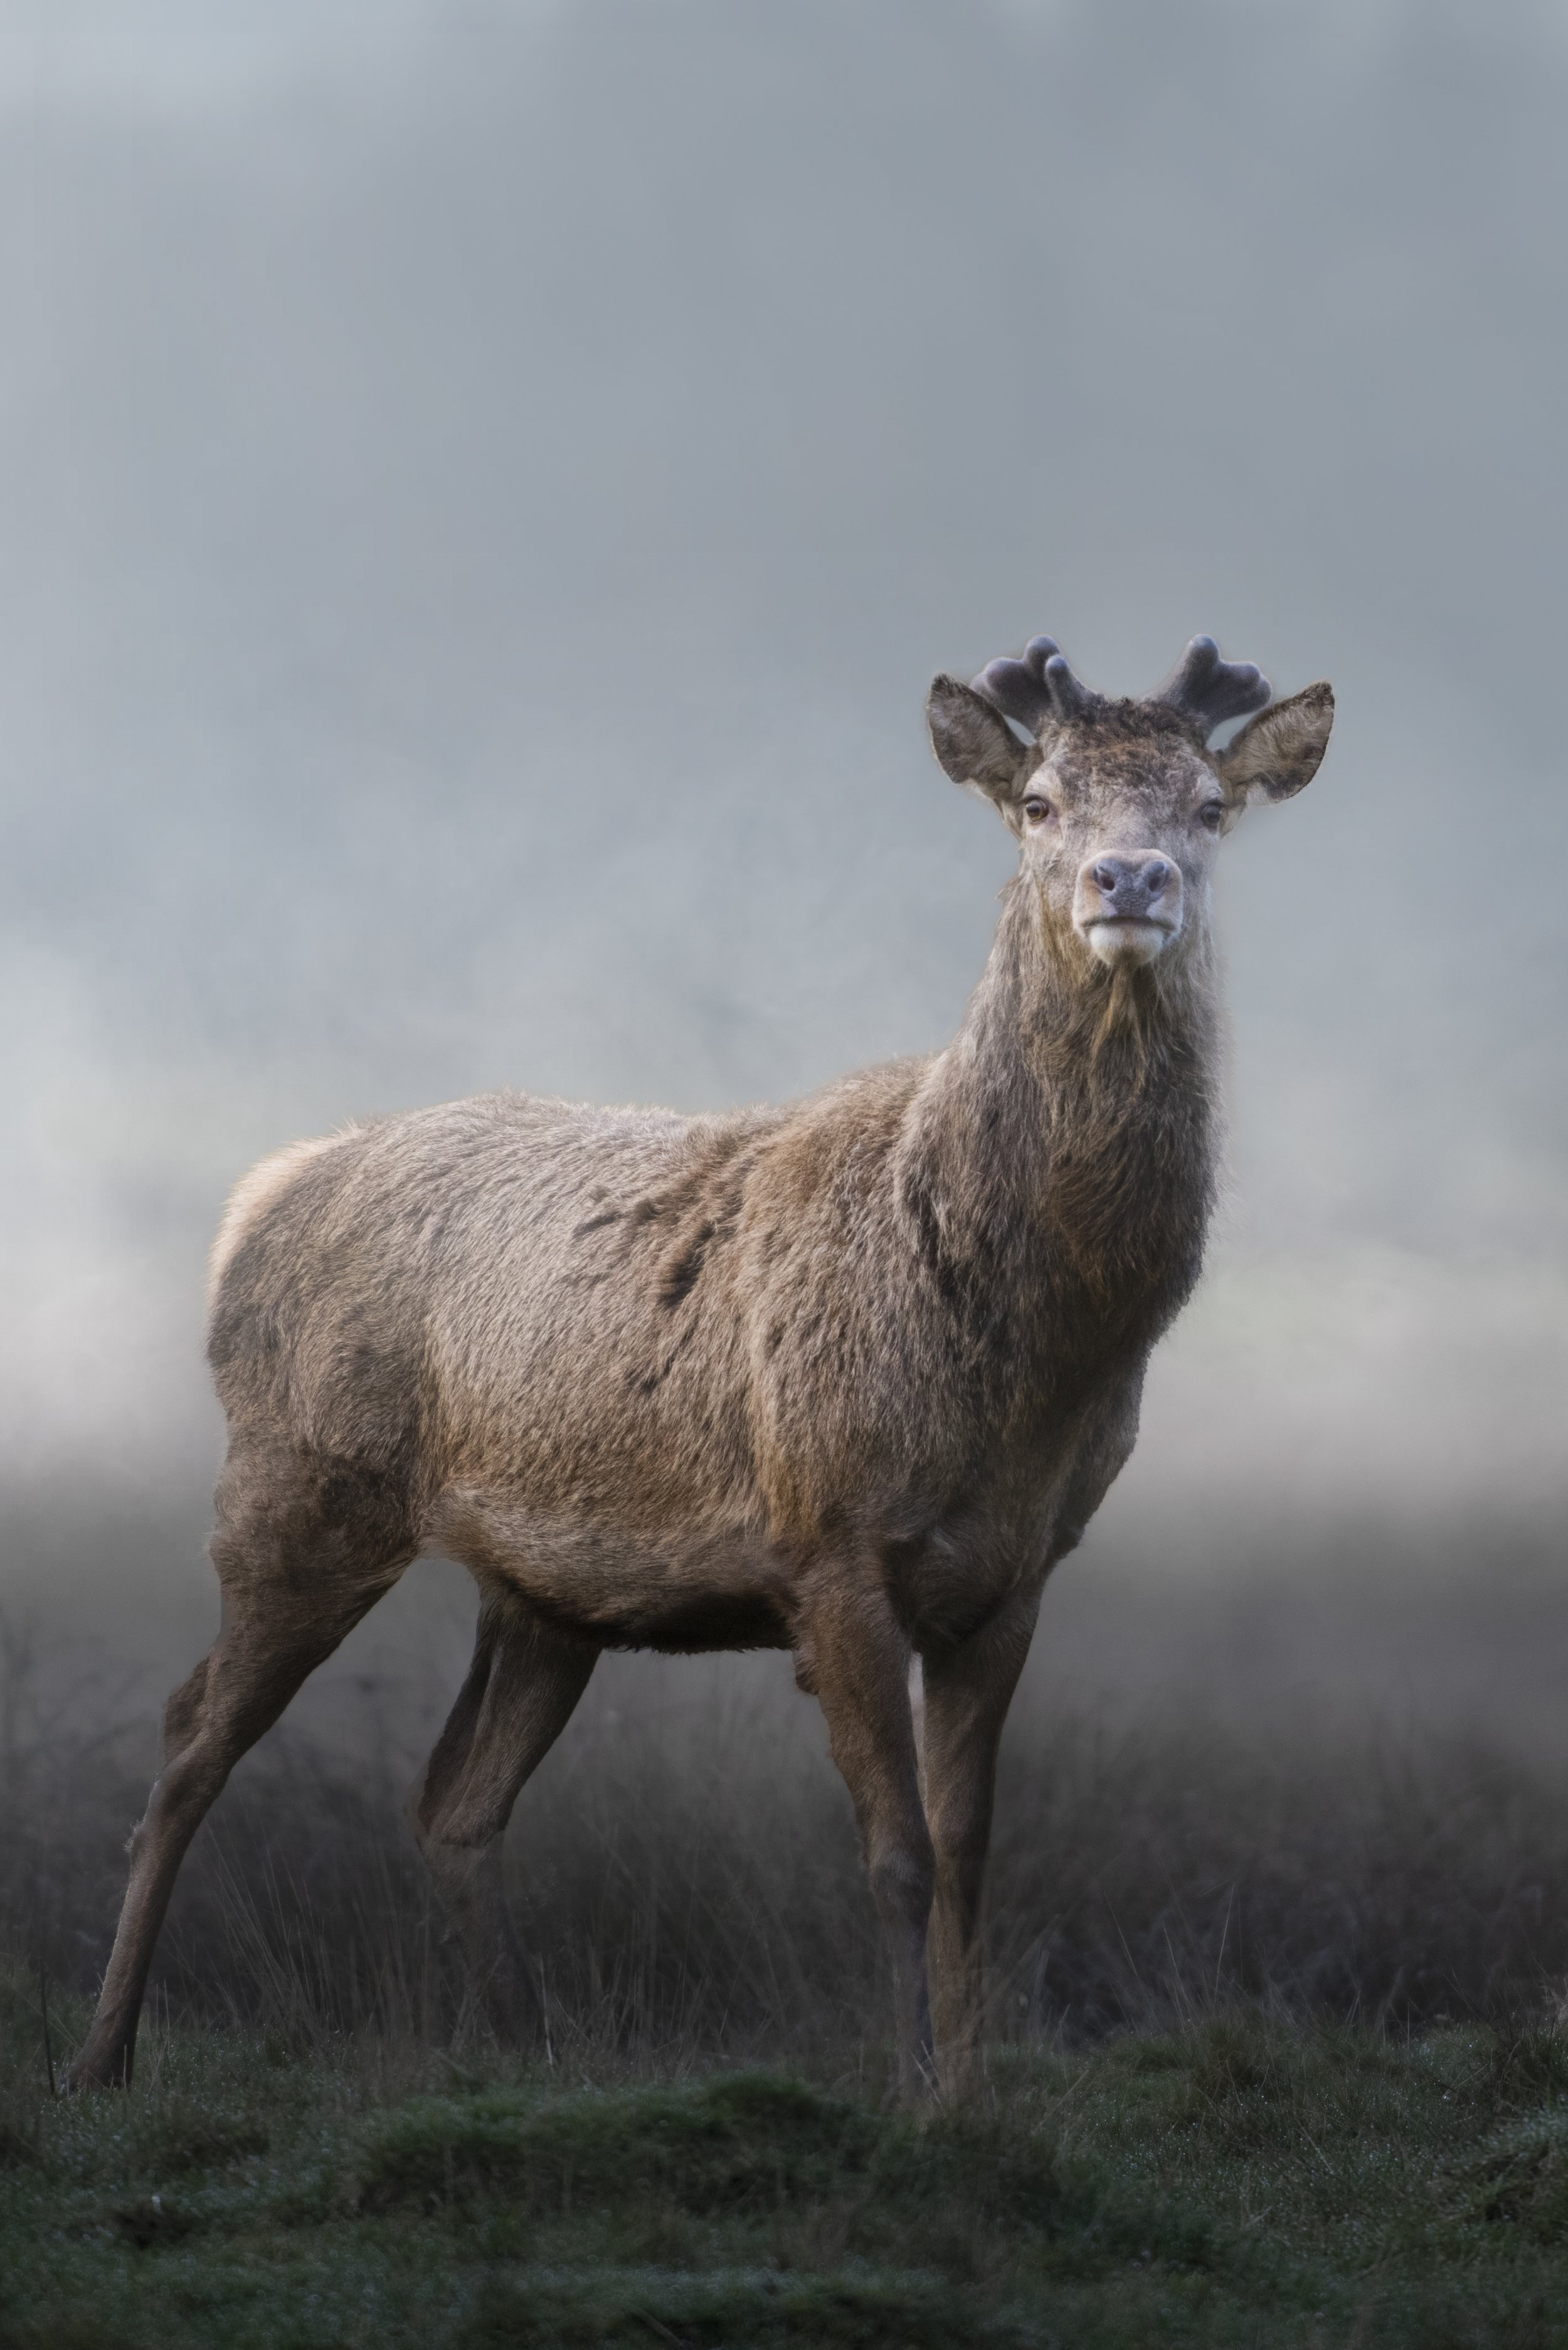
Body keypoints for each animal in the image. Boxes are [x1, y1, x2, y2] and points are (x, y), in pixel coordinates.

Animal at [65, 633, 1333, 2097]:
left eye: (1209, 806)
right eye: (1039, 803)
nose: (1129, 880)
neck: (1026, 1359)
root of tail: (259, 1201)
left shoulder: (1014, 1575)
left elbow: (969, 1857)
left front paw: (972, 2089)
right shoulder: (827, 1540)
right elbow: (897, 1858)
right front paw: (911, 2090)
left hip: (543, 1593)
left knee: (451, 1798)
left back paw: (523, 2054)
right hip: (295, 1487)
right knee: (186, 1739)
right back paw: (101, 2055)